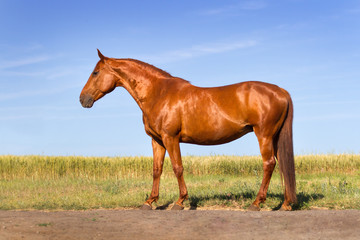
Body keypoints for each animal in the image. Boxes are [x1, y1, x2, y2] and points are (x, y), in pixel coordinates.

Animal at [80, 49, 296, 211]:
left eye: (95, 72)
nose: (83, 99)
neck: (159, 93)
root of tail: (280, 91)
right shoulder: (157, 140)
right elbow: (157, 170)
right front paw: (150, 201)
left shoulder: (171, 138)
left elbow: (177, 168)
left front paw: (180, 201)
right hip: (275, 137)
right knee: (282, 164)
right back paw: (286, 203)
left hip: (264, 135)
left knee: (269, 164)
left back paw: (257, 203)